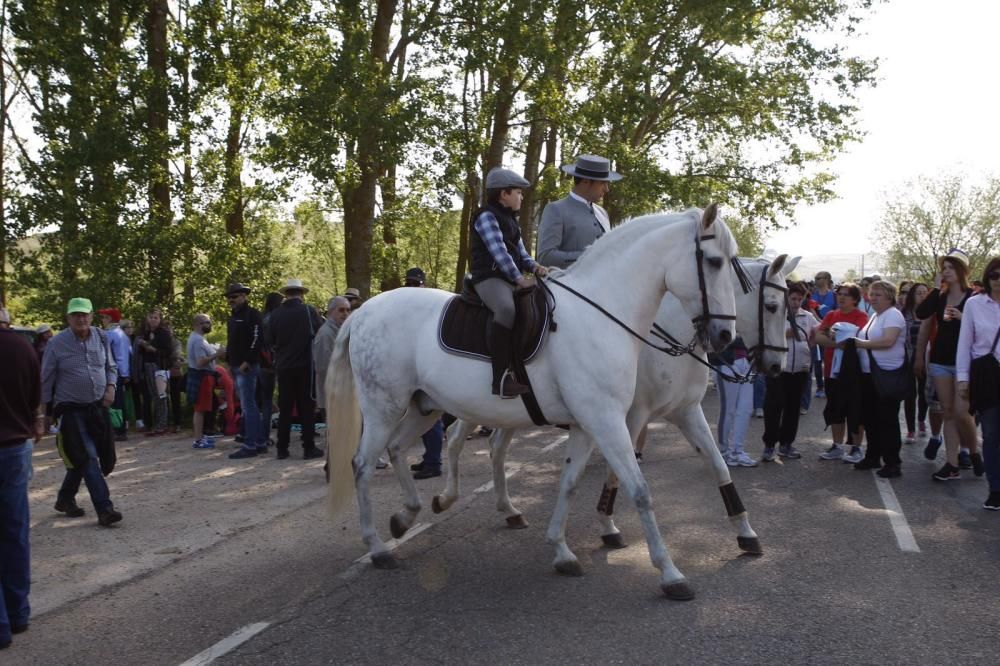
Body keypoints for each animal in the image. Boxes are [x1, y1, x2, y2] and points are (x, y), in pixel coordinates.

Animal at [328, 204, 744, 596]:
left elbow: (570, 482)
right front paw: (671, 573)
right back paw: (379, 547)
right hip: (383, 407)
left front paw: (561, 550)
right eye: (714, 261)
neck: (604, 314)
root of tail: (364, 312)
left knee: (401, 448)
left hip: (423, 406)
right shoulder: (609, 420)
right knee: (364, 463)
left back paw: (408, 516)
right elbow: (639, 490)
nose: (725, 336)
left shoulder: (589, 424)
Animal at [434, 255, 800, 592]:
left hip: (513, 411)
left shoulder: (686, 411)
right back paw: (447, 497)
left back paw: (509, 510)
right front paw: (608, 527)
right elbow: (617, 475)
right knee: (455, 438)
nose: (776, 365)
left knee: (496, 447)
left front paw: (746, 534)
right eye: (771, 306)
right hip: (475, 406)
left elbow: (718, 466)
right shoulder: (625, 417)